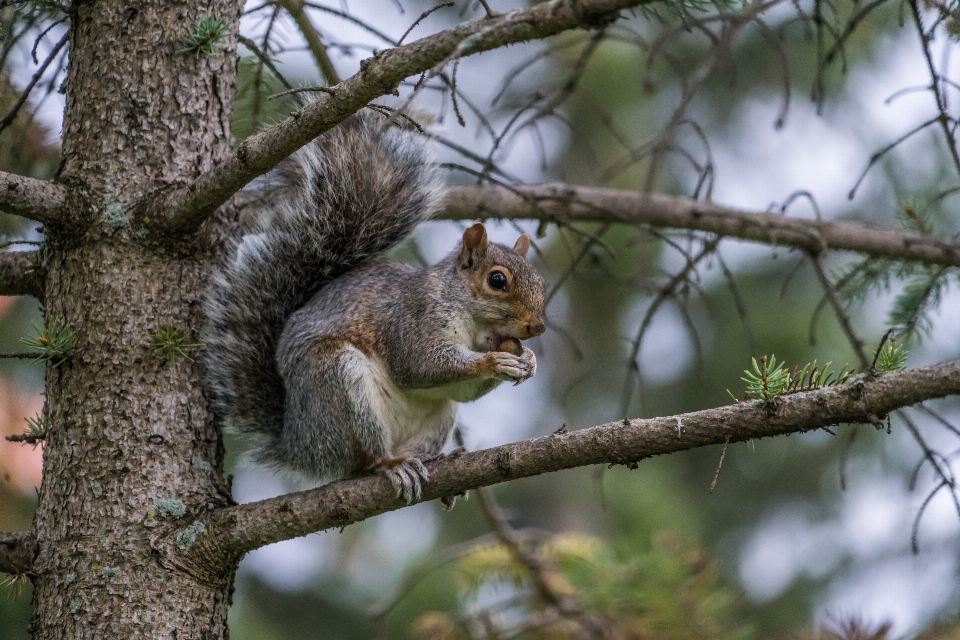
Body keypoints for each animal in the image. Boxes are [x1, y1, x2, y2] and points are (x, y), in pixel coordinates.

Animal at [201, 116, 548, 504]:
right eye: (497, 280)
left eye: (540, 281)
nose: (537, 327)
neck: (475, 327)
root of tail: (298, 444)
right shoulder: (412, 317)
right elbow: (419, 364)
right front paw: (494, 361)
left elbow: (463, 389)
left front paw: (528, 360)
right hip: (337, 383)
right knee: (360, 461)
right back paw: (389, 465)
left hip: (438, 415)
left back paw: (435, 460)